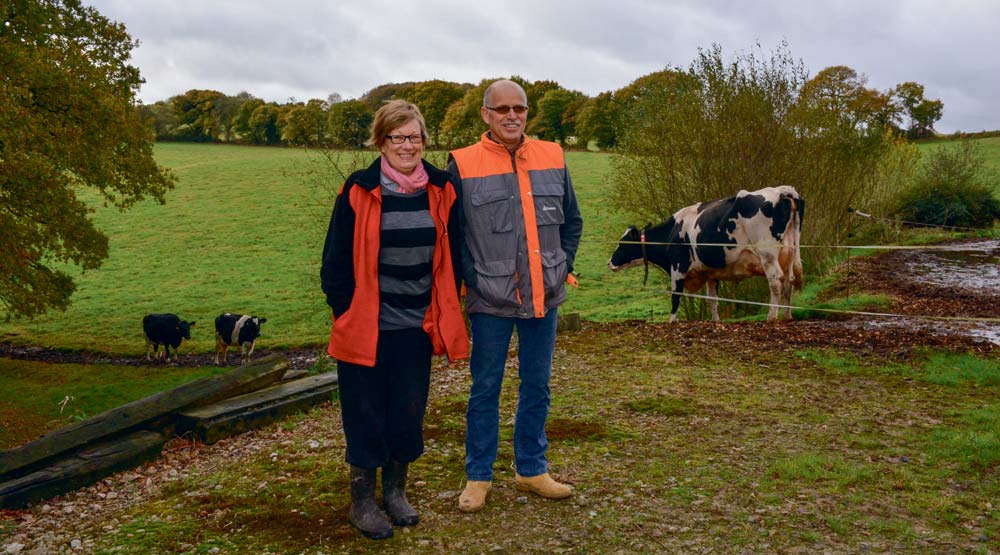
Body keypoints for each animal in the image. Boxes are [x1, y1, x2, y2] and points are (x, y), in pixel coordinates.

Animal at [608, 186, 804, 322]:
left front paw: (671, 321)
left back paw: (772, 316)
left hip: (767, 254)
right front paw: (715, 321)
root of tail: (781, 190)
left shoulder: (678, 266)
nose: (609, 262)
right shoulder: (711, 272)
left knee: (775, 281)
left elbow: (676, 296)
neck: (671, 233)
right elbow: (712, 300)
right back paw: (787, 315)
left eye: (623, 244)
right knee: (789, 281)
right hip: (788, 253)